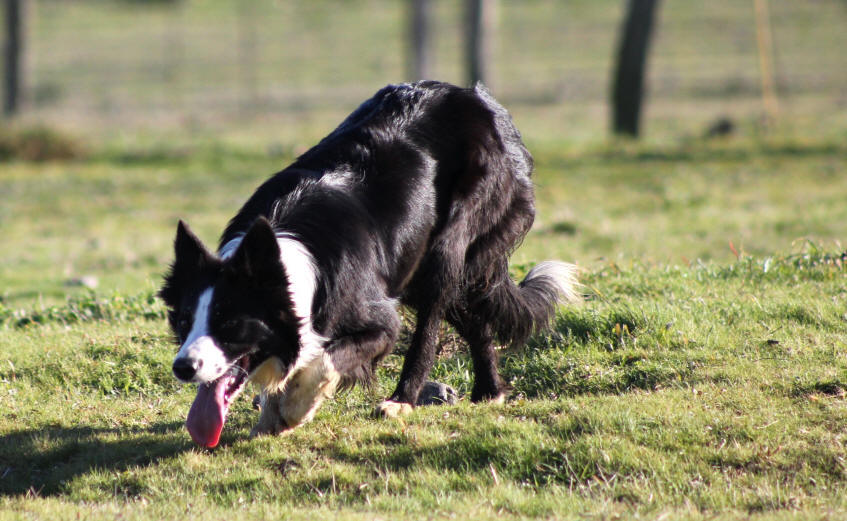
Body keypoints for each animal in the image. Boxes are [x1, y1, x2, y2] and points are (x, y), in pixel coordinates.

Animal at [160, 81, 580, 446]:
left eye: (230, 323)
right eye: (184, 321)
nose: (183, 367)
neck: (287, 257)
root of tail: (477, 99)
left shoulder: (377, 319)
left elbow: (328, 359)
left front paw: (296, 406)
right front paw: (271, 413)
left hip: (450, 242)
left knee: (430, 325)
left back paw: (402, 400)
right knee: (475, 319)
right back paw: (488, 391)